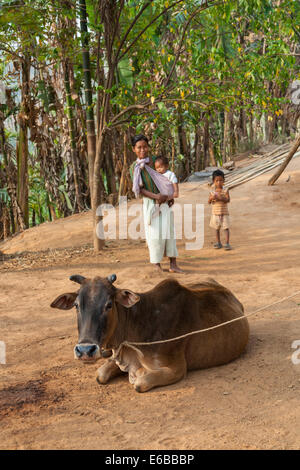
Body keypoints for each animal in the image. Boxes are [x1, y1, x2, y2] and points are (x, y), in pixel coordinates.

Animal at [50, 276, 250, 392]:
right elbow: (100, 374)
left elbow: (139, 384)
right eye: (76, 305)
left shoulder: (176, 369)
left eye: (109, 304)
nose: (85, 350)